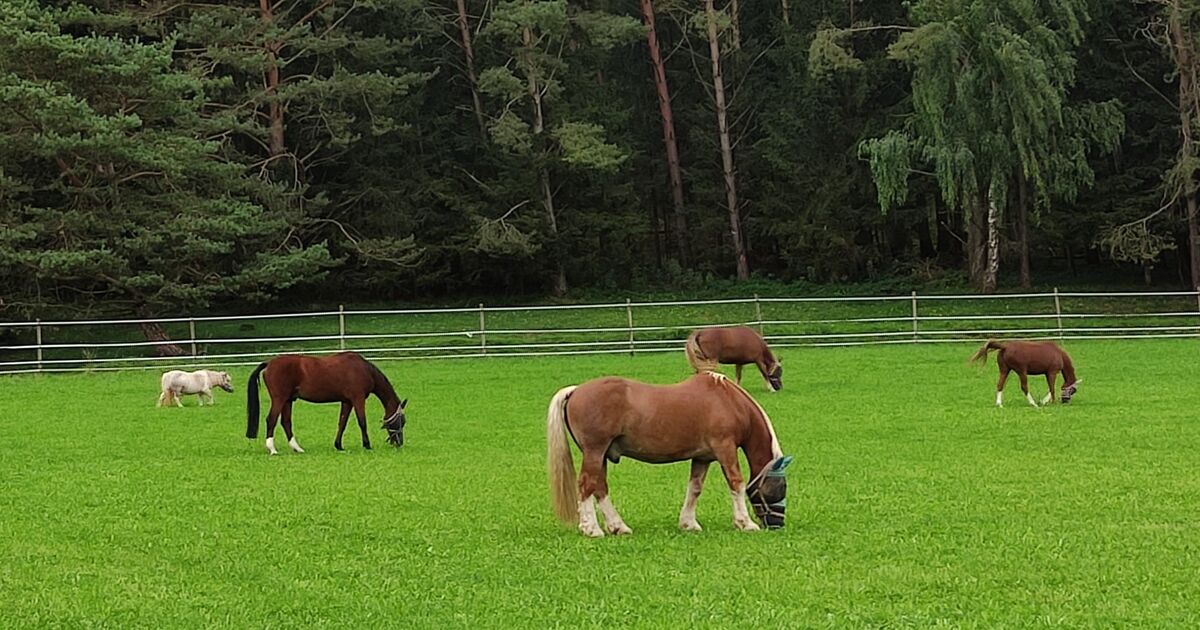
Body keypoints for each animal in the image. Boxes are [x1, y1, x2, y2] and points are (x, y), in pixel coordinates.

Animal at [245, 352, 407, 455]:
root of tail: (269, 363)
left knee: (286, 422)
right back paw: (272, 449)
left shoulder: (347, 401)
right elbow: (362, 422)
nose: (399, 443)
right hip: (279, 399)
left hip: (288, 401)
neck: (363, 369)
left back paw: (297, 448)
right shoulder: (358, 399)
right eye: (401, 421)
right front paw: (367, 445)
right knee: (271, 420)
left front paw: (339, 446)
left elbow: (342, 423)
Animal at [546, 371, 794, 537]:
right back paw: (591, 529)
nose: (777, 524)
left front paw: (688, 523)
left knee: (600, 487)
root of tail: (576, 390)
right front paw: (745, 523)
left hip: (601, 455)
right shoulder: (725, 449)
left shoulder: (703, 457)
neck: (729, 401)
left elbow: (695, 488)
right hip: (595, 452)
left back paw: (618, 526)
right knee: (587, 484)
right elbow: (737, 483)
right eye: (781, 487)